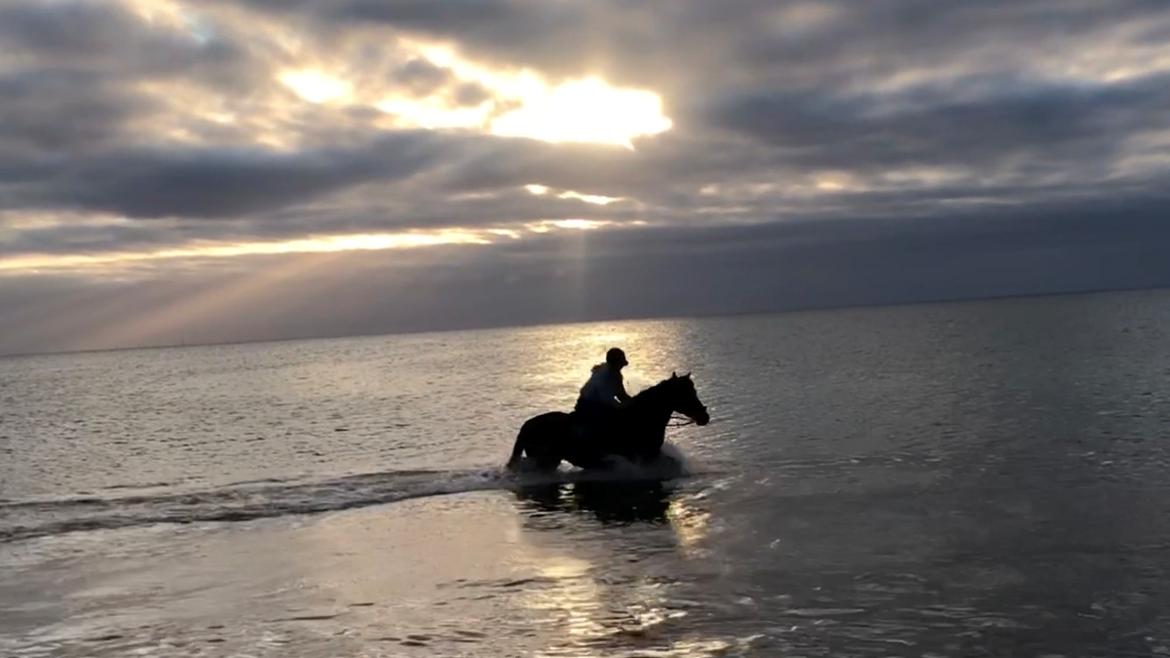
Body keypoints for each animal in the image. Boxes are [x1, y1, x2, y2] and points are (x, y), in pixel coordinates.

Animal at [505, 369, 706, 470]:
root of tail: (526, 426)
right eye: (687, 393)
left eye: (694, 390)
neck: (641, 416)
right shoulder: (647, 455)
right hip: (546, 461)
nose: (705, 416)